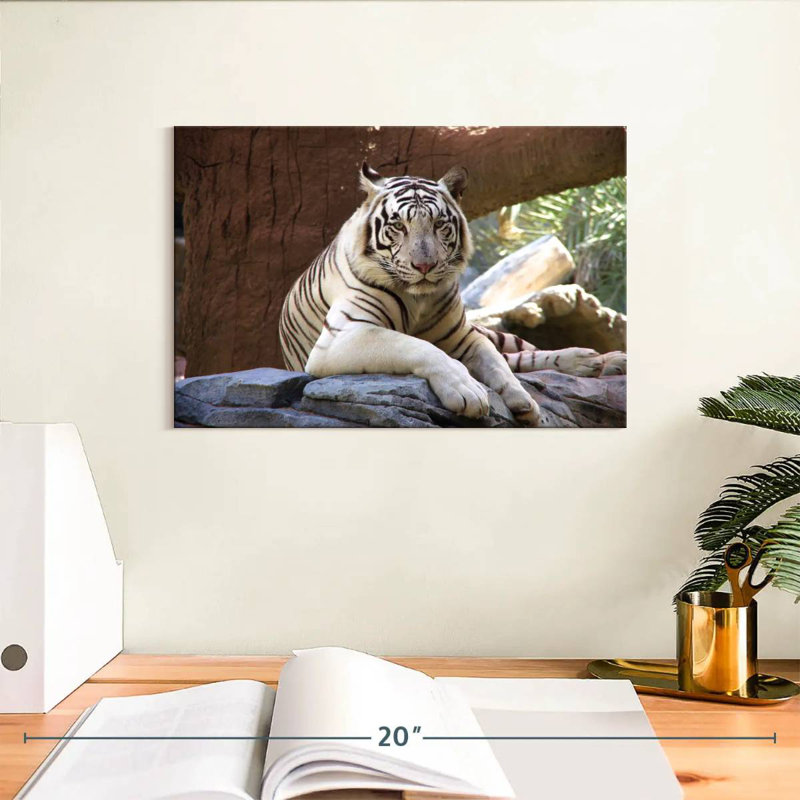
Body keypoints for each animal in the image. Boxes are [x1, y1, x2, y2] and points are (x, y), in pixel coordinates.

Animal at [279, 163, 625, 425]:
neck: (419, 298)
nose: (424, 265)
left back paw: (598, 360)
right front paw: (468, 392)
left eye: (438, 224)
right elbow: (419, 346)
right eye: (399, 226)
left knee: (522, 353)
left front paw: (523, 399)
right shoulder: (342, 336)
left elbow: (496, 364)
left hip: (494, 332)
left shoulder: (465, 336)